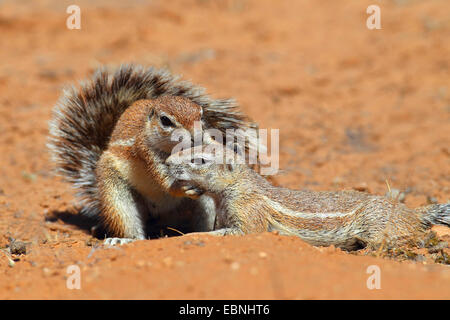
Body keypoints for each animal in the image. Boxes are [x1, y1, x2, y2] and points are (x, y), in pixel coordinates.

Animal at [48, 65, 258, 245]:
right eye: (165, 120)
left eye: (200, 115)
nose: (195, 137)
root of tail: (161, 218)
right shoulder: (145, 151)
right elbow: (162, 178)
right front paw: (179, 188)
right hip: (115, 194)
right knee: (128, 222)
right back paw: (124, 240)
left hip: (205, 203)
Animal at [166, 146, 450, 251]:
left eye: (200, 160)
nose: (168, 162)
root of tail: (411, 212)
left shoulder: (249, 212)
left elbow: (241, 232)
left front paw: (187, 236)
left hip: (375, 222)